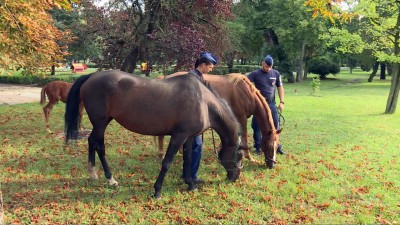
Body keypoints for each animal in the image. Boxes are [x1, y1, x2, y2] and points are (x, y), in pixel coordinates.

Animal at [65, 71, 244, 199]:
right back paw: (111, 179)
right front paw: (157, 191)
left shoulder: (188, 137)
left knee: (91, 141)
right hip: (101, 123)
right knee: (100, 147)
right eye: (239, 156)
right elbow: (167, 162)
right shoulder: (178, 136)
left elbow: (188, 160)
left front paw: (191, 185)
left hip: (102, 123)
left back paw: (93, 173)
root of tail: (91, 76)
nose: (235, 177)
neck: (203, 102)